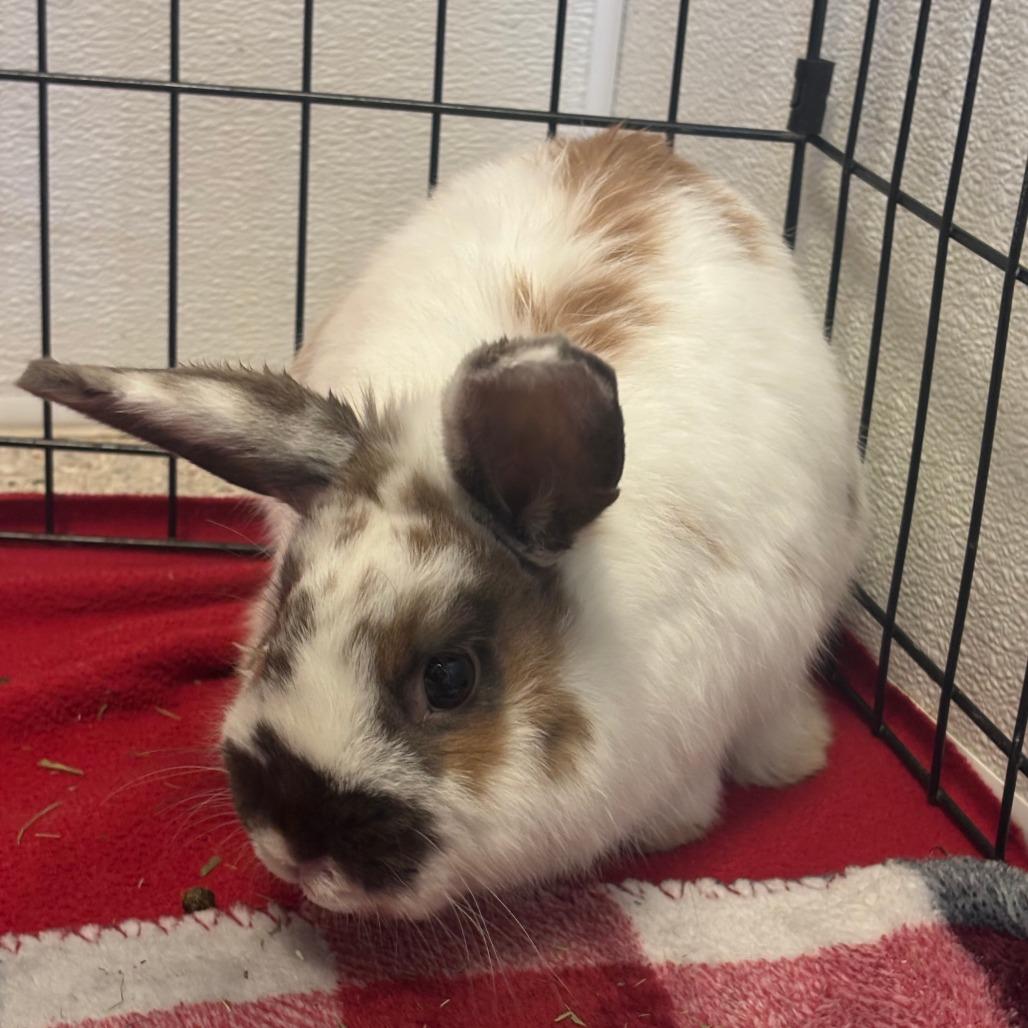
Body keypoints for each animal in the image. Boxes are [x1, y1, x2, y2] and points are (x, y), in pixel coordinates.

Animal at [18, 128, 864, 919]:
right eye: (282, 619)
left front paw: (675, 827)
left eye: (450, 679)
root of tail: (636, 147)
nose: (296, 840)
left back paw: (793, 754)